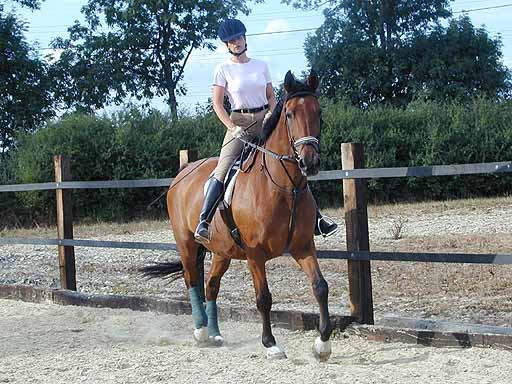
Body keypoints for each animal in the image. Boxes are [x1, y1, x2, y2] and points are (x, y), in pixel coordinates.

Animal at [141, 70, 332, 362]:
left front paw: (322, 344)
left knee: (211, 285)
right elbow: (263, 298)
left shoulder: (302, 246)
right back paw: (201, 331)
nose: (309, 162)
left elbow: (320, 287)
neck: (283, 187)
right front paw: (270, 344)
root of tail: (183, 172)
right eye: (289, 114)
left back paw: (216, 333)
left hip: (222, 251)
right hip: (186, 243)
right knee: (192, 280)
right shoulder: (255, 253)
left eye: (318, 112)